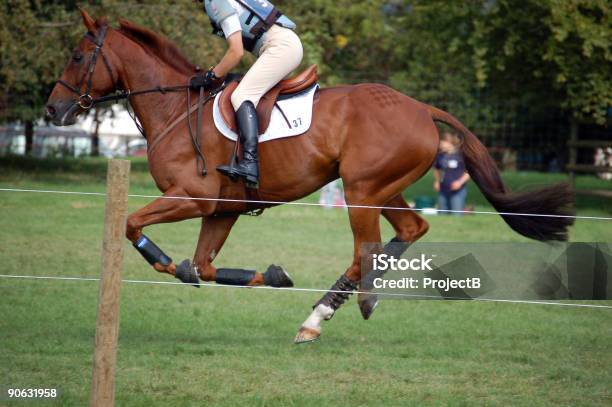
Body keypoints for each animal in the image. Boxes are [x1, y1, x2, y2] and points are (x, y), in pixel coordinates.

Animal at [47, 11, 572, 344]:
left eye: (77, 56)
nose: (53, 110)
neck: (176, 110)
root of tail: (423, 107)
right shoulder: (221, 211)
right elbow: (205, 267)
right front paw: (271, 276)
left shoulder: (193, 198)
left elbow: (133, 225)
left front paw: (164, 260)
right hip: (382, 188)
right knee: (411, 229)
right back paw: (335, 307)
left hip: (361, 191)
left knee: (366, 249)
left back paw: (331, 312)